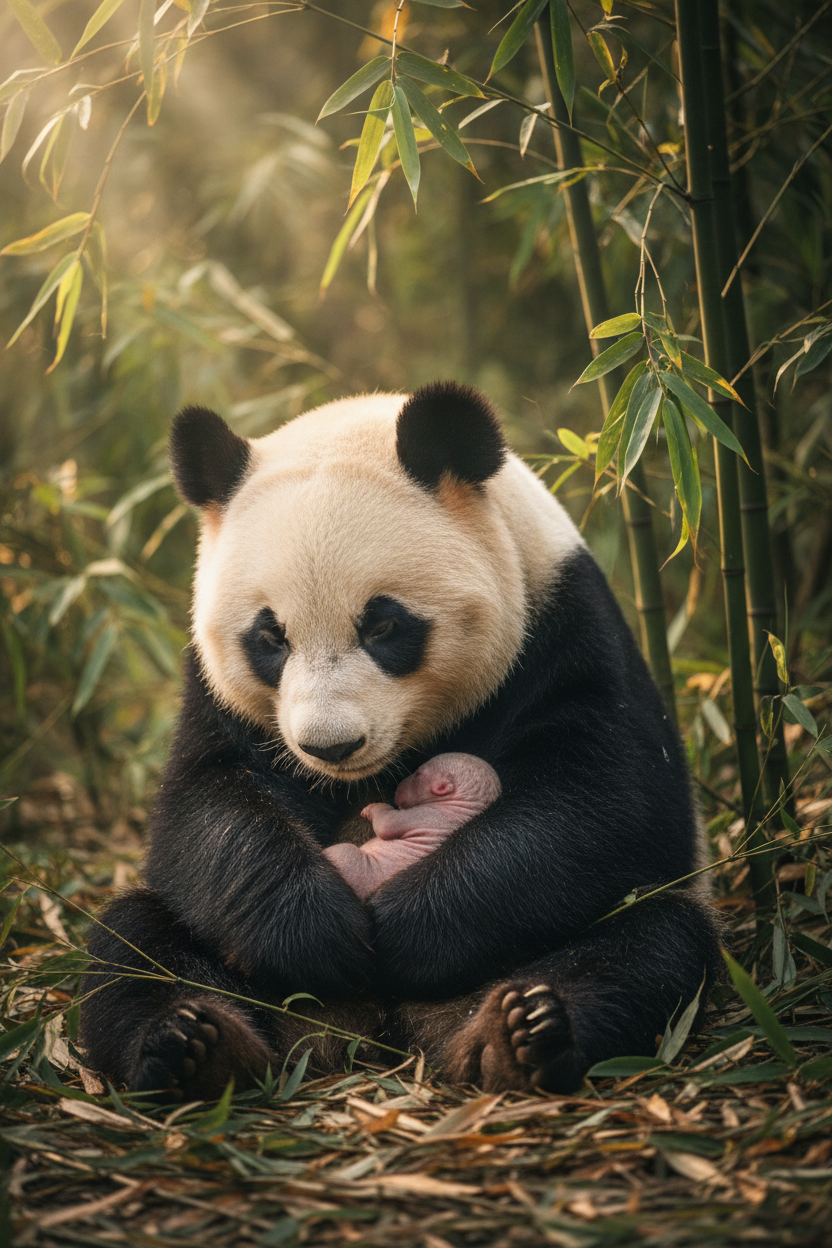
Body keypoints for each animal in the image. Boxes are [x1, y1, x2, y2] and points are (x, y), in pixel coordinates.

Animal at [81, 381, 721, 1099]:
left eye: (382, 625)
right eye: (270, 636)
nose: (331, 746)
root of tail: (368, 1029)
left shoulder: (565, 623)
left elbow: (605, 802)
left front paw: (402, 929)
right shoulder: (216, 694)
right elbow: (203, 811)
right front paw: (322, 935)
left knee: (650, 942)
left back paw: (519, 1035)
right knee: (132, 946)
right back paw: (195, 1045)